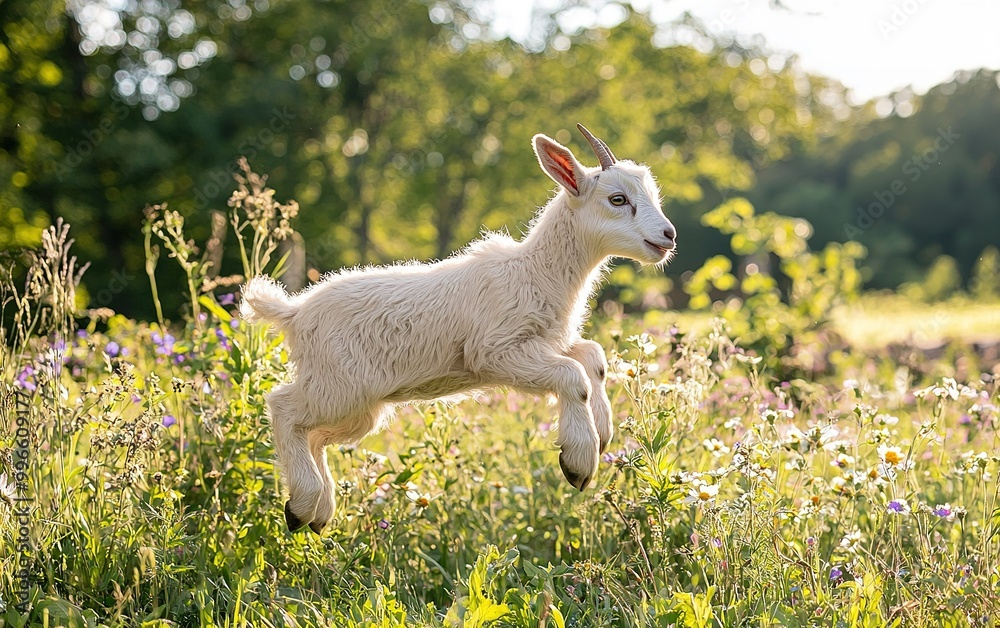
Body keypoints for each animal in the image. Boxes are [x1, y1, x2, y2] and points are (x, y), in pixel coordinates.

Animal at [241, 125, 677, 534]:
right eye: (617, 199)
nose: (669, 235)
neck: (534, 272)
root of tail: (294, 312)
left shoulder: (545, 341)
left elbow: (592, 358)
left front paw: (601, 433)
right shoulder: (494, 351)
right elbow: (573, 375)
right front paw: (578, 462)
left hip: (357, 408)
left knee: (314, 434)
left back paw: (315, 512)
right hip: (339, 386)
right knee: (283, 407)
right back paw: (303, 504)